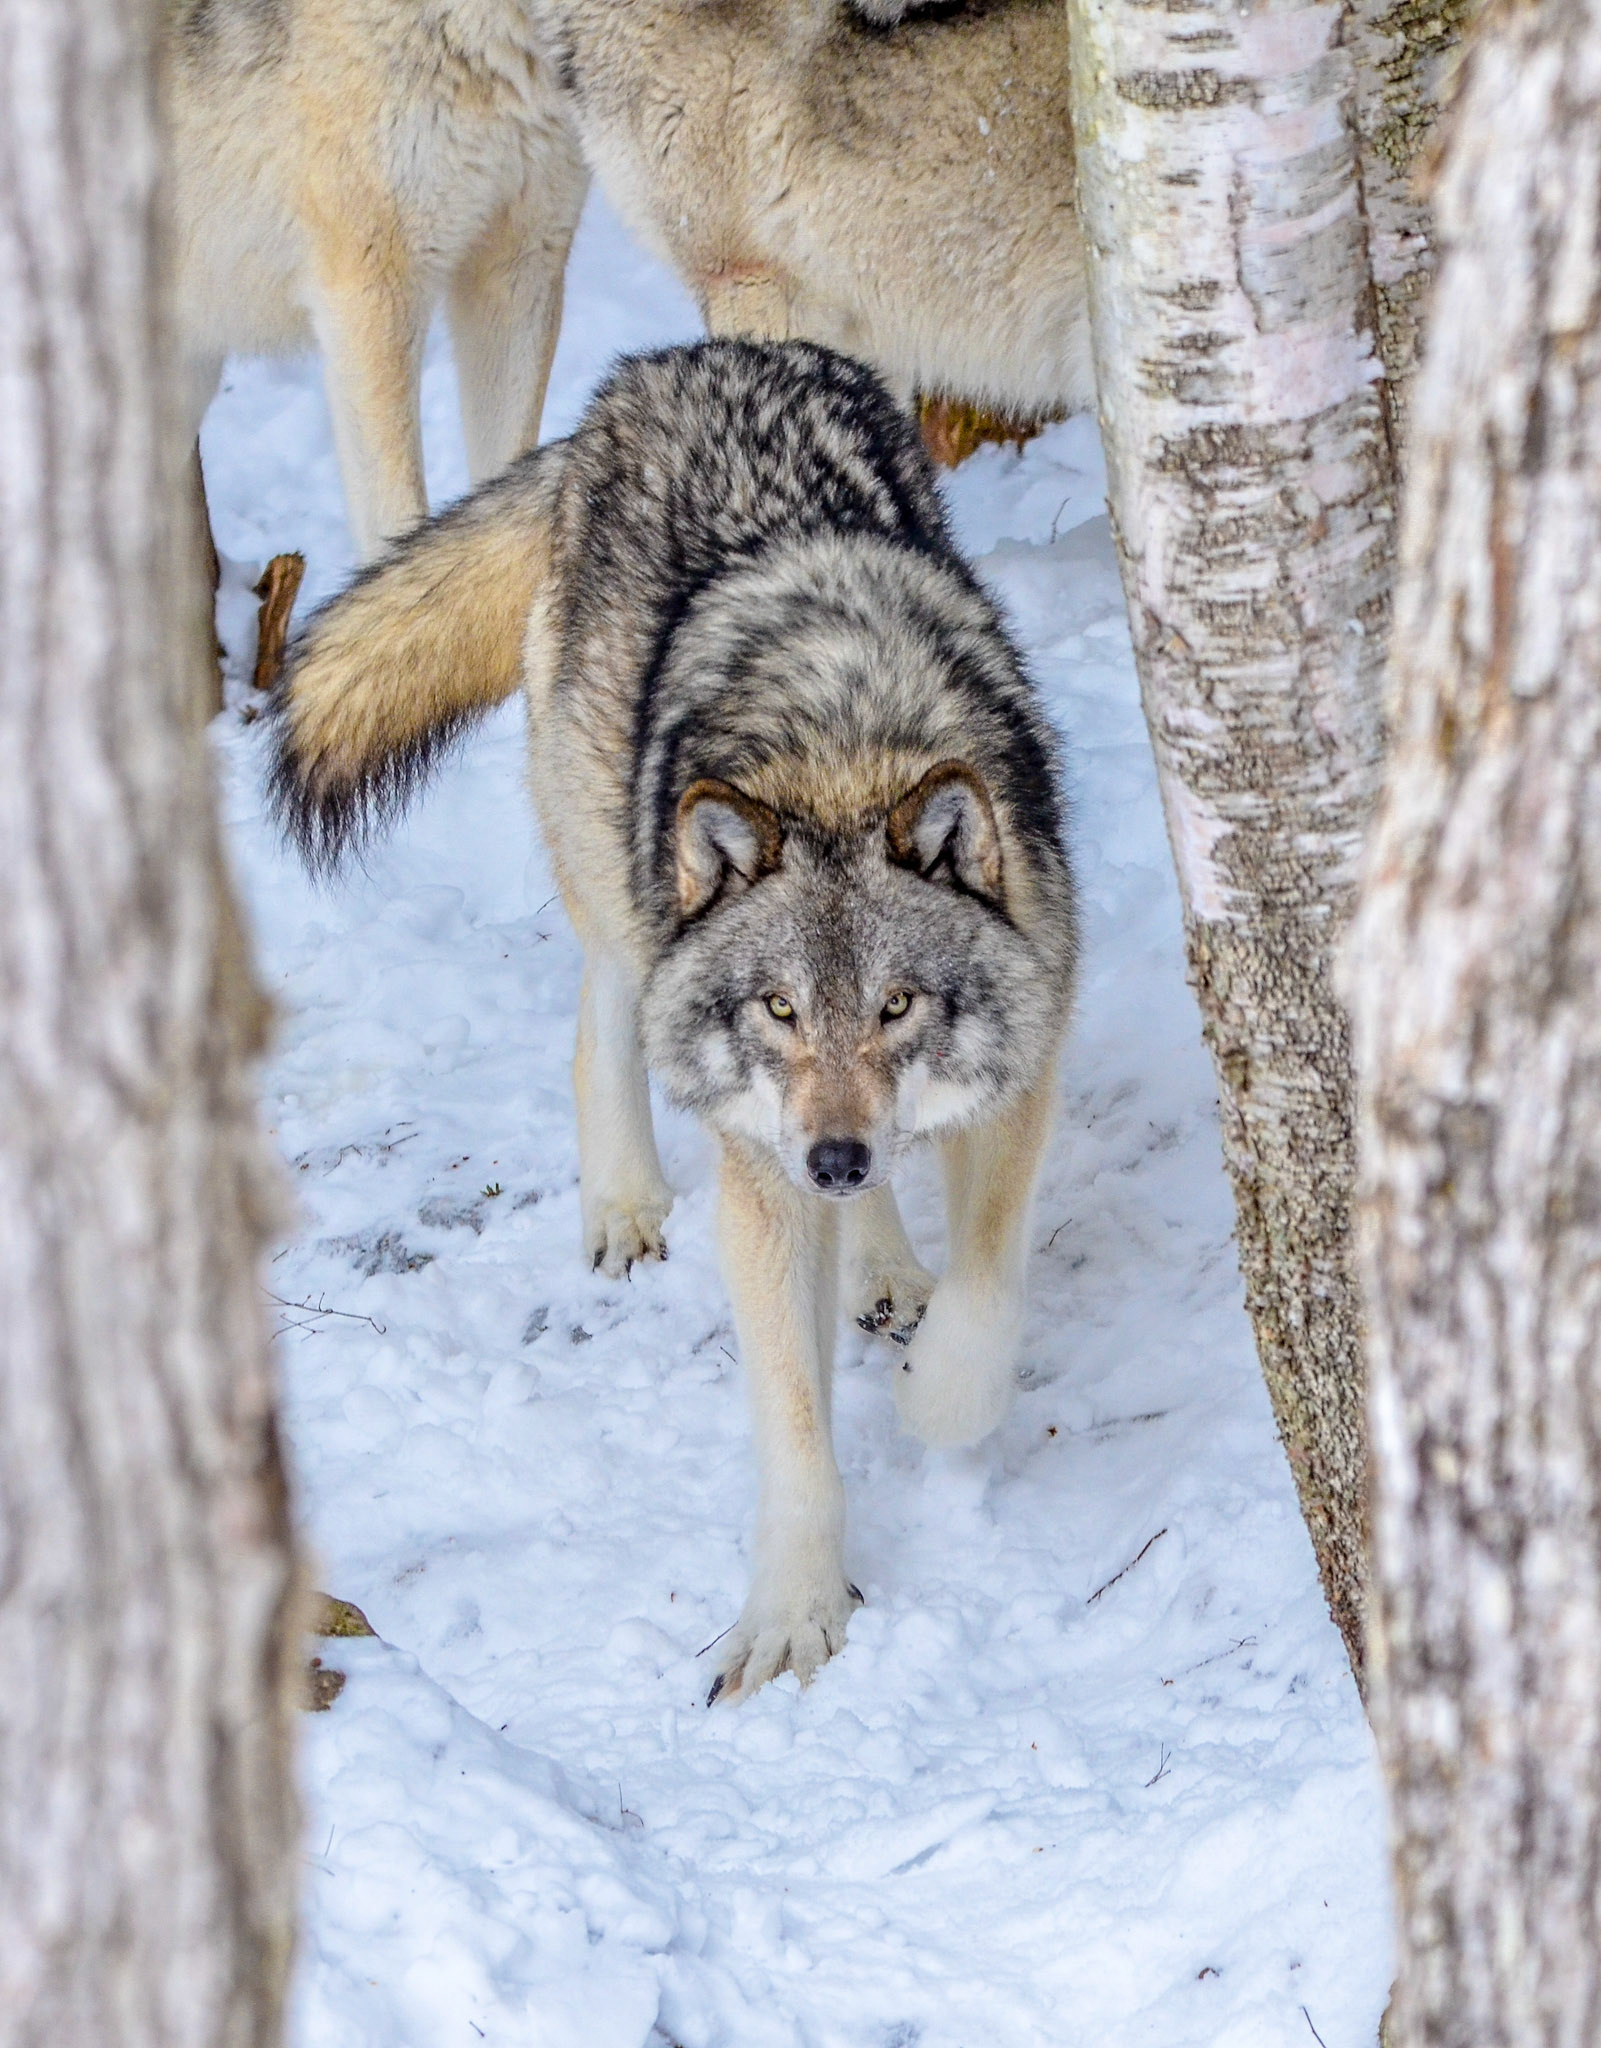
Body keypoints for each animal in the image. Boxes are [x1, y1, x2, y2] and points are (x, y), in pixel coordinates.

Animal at [270, 340, 1078, 1702]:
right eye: (780, 1006)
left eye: (895, 1004)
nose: (836, 1154)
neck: (842, 755)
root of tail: (669, 362)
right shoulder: (760, 1160)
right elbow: (793, 1426)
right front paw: (793, 1616)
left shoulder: (1021, 1069)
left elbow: (985, 1286)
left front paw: (933, 1396)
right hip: (617, 874)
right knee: (604, 1012)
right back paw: (625, 1202)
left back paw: (878, 1266)